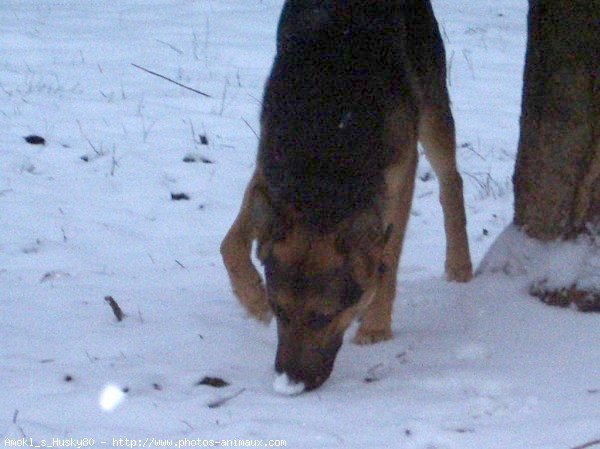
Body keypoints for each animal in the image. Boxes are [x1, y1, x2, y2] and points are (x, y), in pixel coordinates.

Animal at [220, 0, 474, 392]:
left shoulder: (400, 174)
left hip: (431, 105)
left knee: (451, 180)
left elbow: (386, 260)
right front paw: (250, 298)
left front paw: (375, 327)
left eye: (325, 317)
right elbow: (230, 242)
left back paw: (460, 264)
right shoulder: (268, 165)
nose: (291, 382)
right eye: (279, 310)